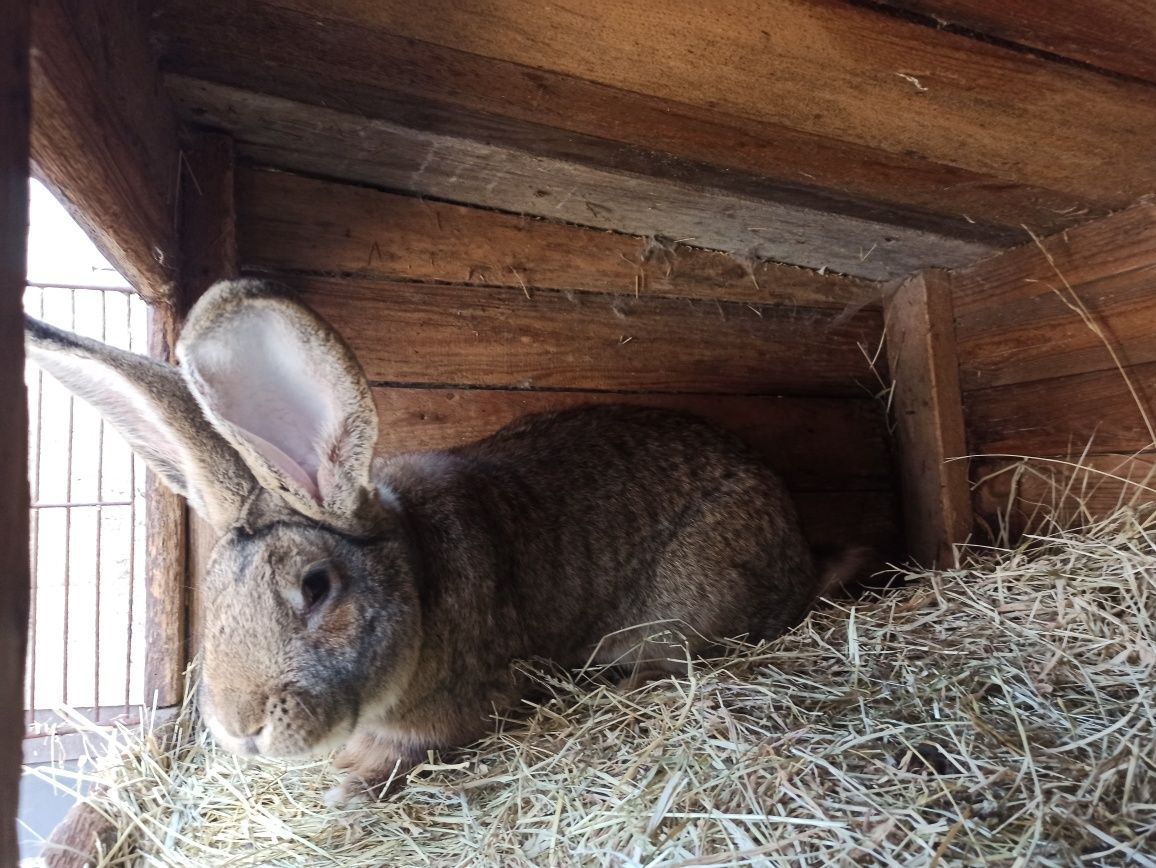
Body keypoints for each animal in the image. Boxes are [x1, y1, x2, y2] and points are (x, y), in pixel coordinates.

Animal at [27, 282, 832, 804]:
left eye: (316, 587)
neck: (418, 579)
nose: (239, 726)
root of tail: (798, 545)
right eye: (212, 594)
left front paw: (350, 788)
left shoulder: (467, 705)